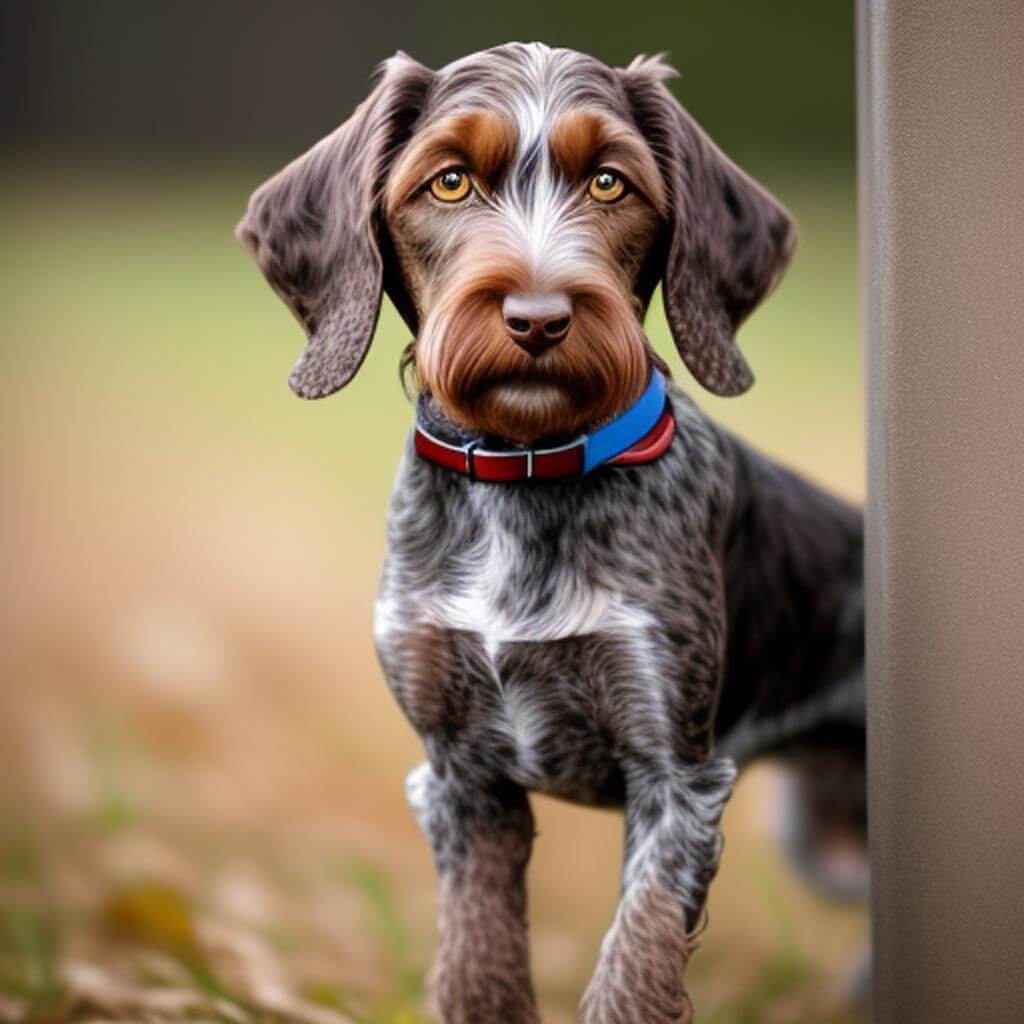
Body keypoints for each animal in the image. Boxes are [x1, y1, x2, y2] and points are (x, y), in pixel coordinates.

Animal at [237, 41, 864, 1024]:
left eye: (610, 182)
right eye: (450, 181)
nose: (538, 319)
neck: (525, 472)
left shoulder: (677, 781)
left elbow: (633, 973)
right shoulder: (459, 775)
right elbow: (479, 967)